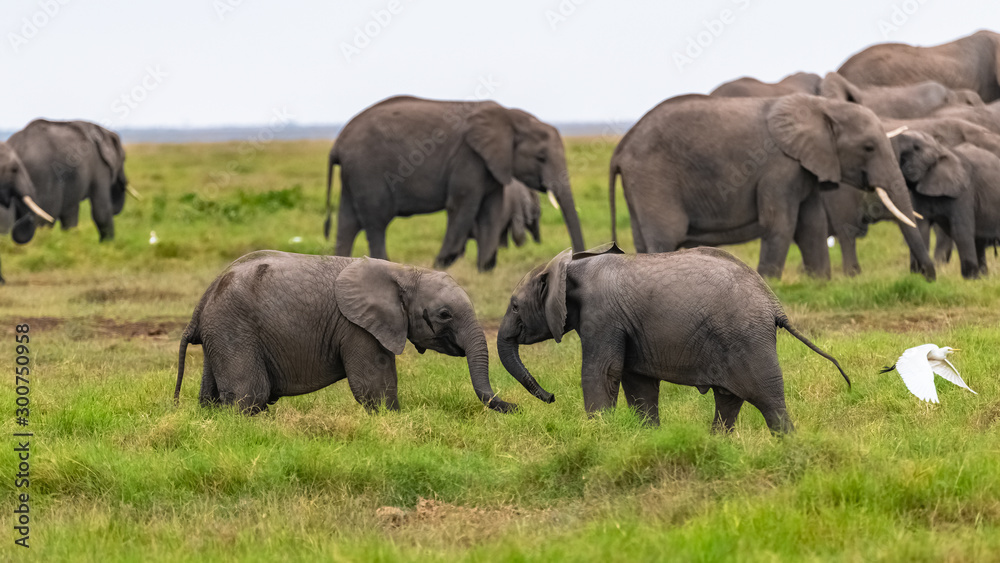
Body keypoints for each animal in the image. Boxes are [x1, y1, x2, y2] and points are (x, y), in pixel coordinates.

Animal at [175, 250, 515, 414]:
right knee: (250, 394)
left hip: (221, 331)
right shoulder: (356, 326)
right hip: (234, 328)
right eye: (444, 315)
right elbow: (373, 386)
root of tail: (202, 301)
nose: (517, 406)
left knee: (212, 393)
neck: (403, 271)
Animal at [323, 96, 585, 271]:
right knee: (376, 221)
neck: (510, 117)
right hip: (368, 170)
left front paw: (485, 269)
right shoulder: (468, 158)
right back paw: (383, 265)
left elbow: (491, 212)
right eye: (540, 157)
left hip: (354, 176)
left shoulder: (492, 164)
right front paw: (442, 264)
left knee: (348, 223)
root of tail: (338, 143)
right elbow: (462, 206)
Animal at [496, 244, 850, 433]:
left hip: (748, 340)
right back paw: (716, 444)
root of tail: (774, 303)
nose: (551, 397)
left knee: (768, 400)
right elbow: (637, 382)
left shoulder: (603, 316)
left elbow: (602, 372)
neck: (574, 266)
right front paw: (647, 437)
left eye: (514, 306)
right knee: (729, 399)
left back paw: (787, 443)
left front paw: (599, 432)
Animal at [608, 93, 934, 280]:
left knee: (644, 241)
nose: (928, 278)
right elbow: (781, 224)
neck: (822, 106)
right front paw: (770, 282)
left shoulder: (806, 165)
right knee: (665, 237)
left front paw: (819, 282)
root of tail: (621, 147)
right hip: (653, 177)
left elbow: (812, 225)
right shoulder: (780, 167)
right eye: (868, 148)